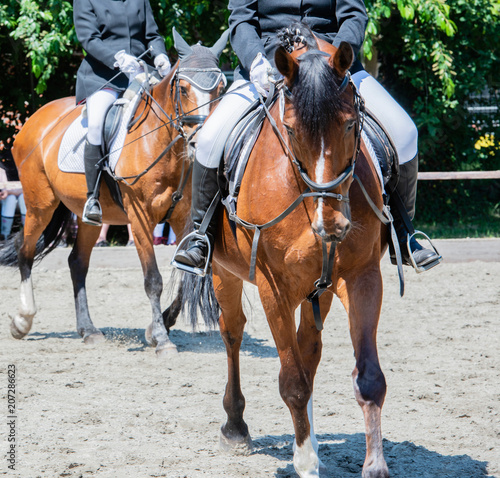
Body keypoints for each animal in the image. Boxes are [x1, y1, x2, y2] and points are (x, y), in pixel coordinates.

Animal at [0, 29, 227, 354]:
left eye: (221, 88)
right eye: (183, 89)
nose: (201, 142)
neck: (160, 145)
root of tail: (36, 118)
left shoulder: (183, 218)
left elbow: (185, 273)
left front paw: (159, 325)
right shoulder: (140, 217)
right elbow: (153, 279)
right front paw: (161, 338)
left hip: (87, 215)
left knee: (77, 263)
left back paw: (88, 330)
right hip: (39, 205)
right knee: (25, 252)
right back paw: (23, 321)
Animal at [201, 27, 392, 478]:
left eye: (350, 124)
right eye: (289, 129)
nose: (332, 226)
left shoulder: (361, 277)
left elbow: (369, 378)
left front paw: (373, 466)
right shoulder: (274, 288)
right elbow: (292, 382)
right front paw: (305, 462)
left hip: (317, 289)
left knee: (310, 352)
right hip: (224, 273)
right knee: (233, 333)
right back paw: (236, 426)